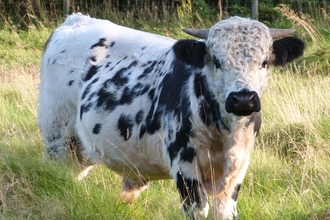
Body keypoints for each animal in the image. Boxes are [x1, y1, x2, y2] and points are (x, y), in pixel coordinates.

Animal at [38, 13, 304, 218]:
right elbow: (198, 209)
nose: (243, 99)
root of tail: (74, 20)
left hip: (79, 152)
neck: (225, 133)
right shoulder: (184, 165)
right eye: (216, 60)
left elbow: (225, 211)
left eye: (264, 61)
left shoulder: (237, 170)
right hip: (57, 139)